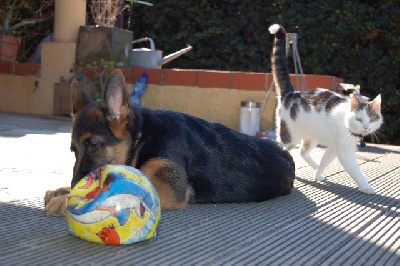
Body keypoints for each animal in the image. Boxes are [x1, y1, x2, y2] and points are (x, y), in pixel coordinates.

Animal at [45, 69, 296, 216]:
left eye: (93, 145)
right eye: (73, 150)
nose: (74, 184)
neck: (143, 138)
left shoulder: (164, 188)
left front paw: (66, 199)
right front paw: (62, 190)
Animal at [268, 23, 382, 193]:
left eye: (373, 118)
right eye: (359, 119)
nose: (366, 127)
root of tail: (291, 93)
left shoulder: (334, 148)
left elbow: (325, 161)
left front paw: (318, 175)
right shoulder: (344, 152)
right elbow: (356, 172)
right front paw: (366, 187)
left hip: (312, 137)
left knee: (303, 152)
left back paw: (315, 167)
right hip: (290, 137)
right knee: (279, 144)